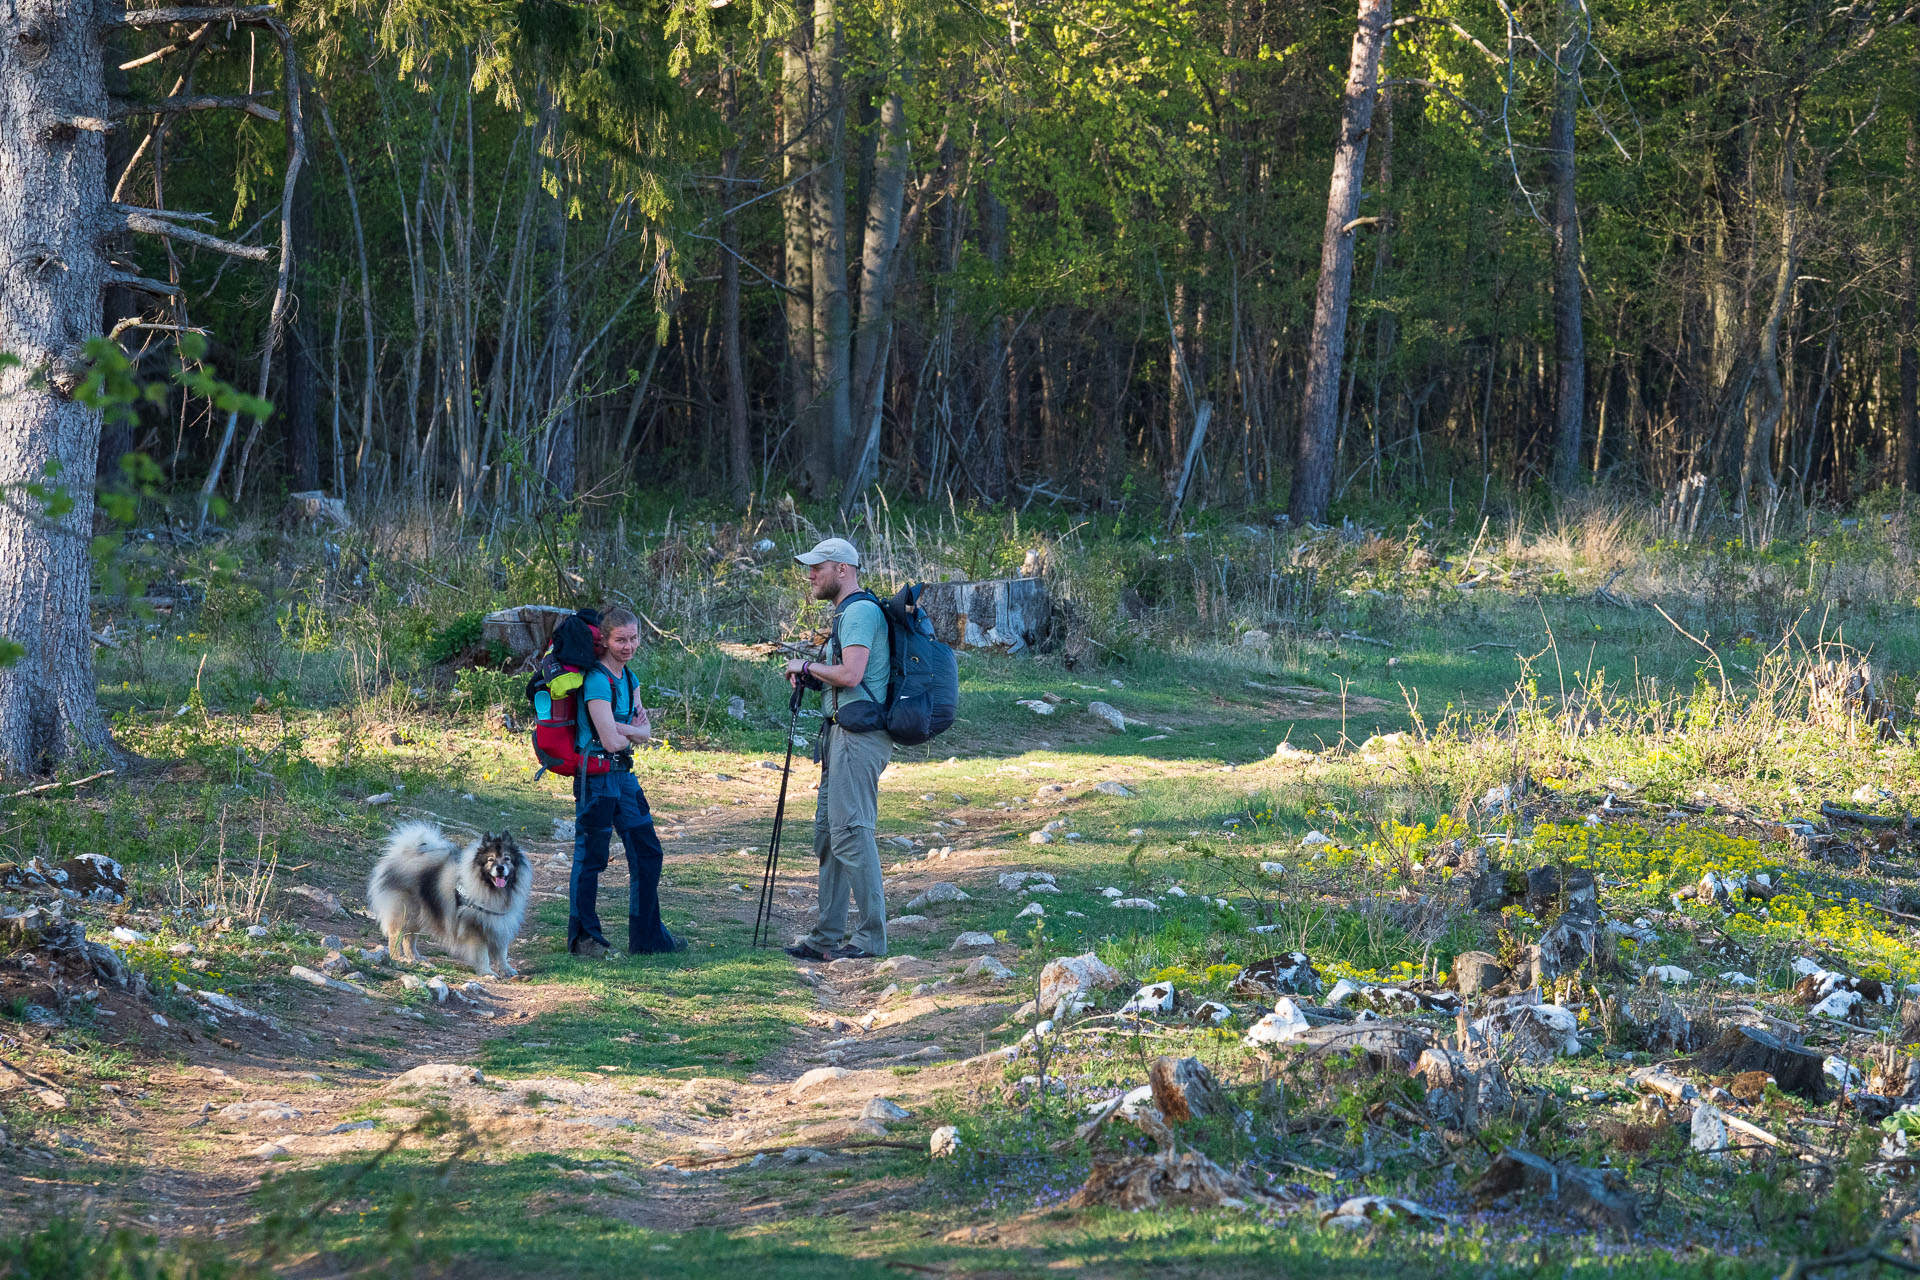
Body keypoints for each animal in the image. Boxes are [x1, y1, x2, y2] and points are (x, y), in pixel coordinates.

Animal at [366, 821, 529, 982]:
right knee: (395, 936)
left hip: (418, 914)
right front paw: (486, 972)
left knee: (409, 938)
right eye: (491, 859)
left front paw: (506, 969)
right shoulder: (475, 927)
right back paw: (399, 957)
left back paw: (416, 958)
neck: (494, 891)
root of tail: (405, 852)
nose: (500, 868)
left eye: (507, 858)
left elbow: (502, 951)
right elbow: (482, 954)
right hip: (405, 912)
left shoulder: (500, 923)